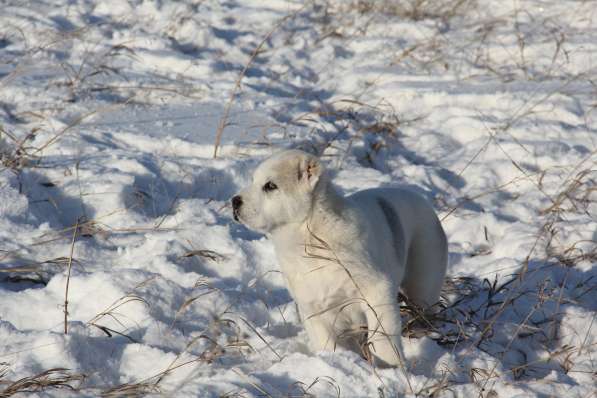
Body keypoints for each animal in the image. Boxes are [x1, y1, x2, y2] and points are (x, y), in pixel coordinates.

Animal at [230, 150, 444, 366]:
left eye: (270, 186)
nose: (234, 201)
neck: (310, 234)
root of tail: (421, 199)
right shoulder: (312, 306)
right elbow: (324, 340)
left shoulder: (377, 291)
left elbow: (382, 336)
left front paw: (390, 365)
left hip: (423, 284)